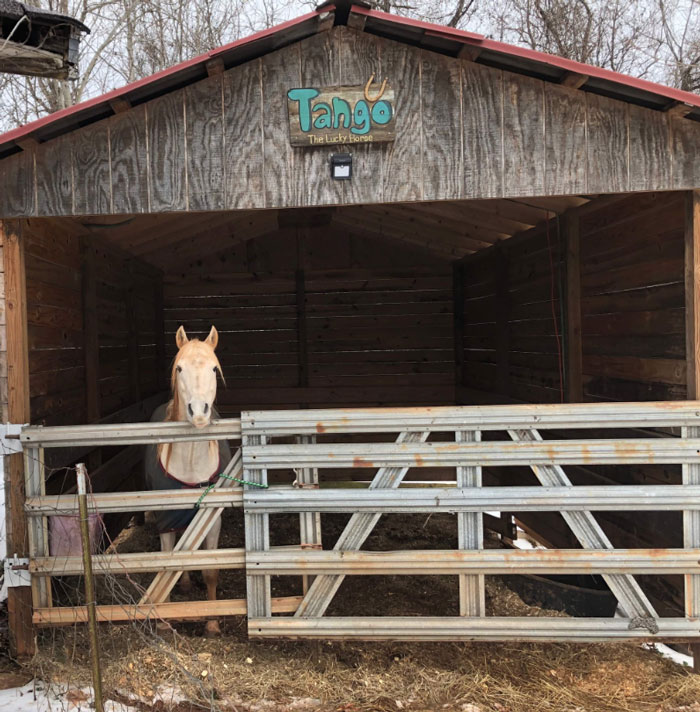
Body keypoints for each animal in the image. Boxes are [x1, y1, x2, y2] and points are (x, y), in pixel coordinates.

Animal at [145, 326, 232, 636]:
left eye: (214, 368)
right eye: (179, 368)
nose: (199, 412)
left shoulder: (212, 519)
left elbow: (210, 570)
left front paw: (213, 623)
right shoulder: (165, 518)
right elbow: (169, 565)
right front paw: (163, 621)